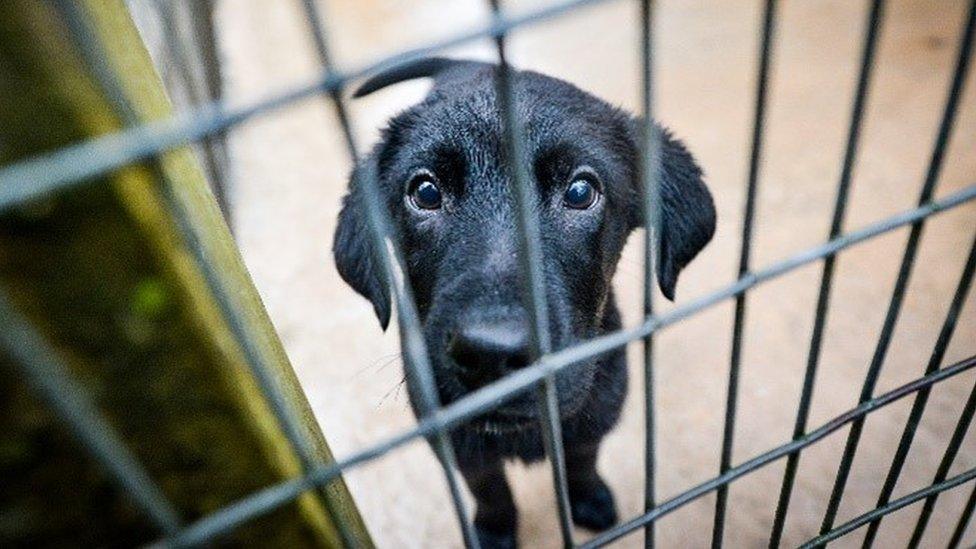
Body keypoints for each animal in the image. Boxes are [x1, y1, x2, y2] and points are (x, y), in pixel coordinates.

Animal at [332, 57, 712, 544]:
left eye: (580, 192)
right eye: (425, 193)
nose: (490, 354)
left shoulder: (593, 417)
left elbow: (582, 462)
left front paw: (587, 499)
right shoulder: (456, 441)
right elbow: (489, 487)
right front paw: (493, 530)